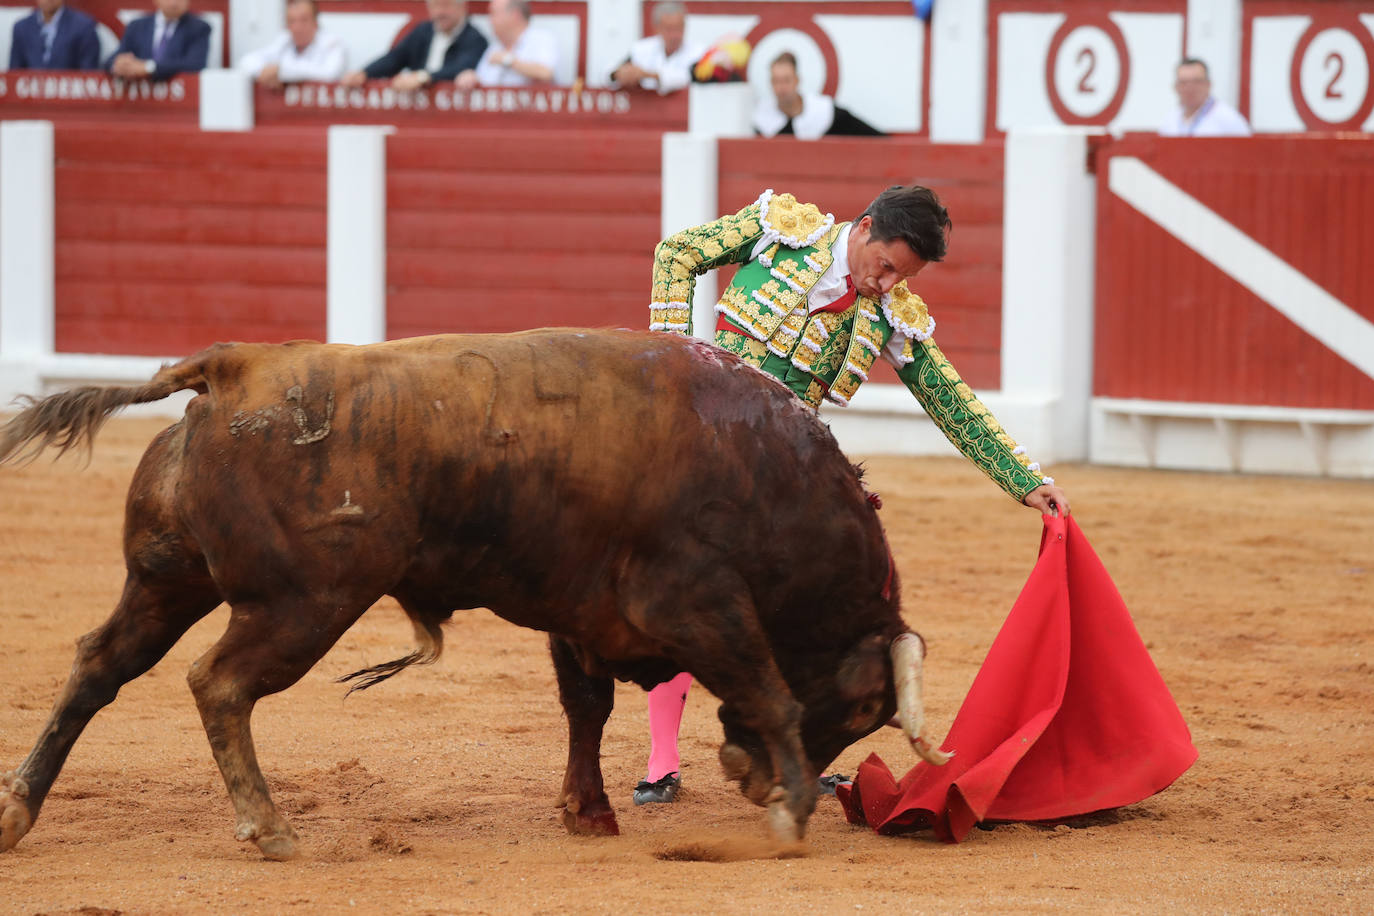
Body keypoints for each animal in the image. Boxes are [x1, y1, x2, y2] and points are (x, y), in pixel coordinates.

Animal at [0, 329, 945, 862]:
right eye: (866, 708)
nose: (751, 780)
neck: (772, 481)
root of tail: (231, 370)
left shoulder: (579, 609)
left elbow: (586, 706)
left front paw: (588, 813)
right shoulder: (697, 599)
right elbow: (772, 691)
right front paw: (793, 814)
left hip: (168, 581)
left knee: (98, 666)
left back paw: (17, 810)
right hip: (304, 602)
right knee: (220, 685)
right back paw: (269, 830)